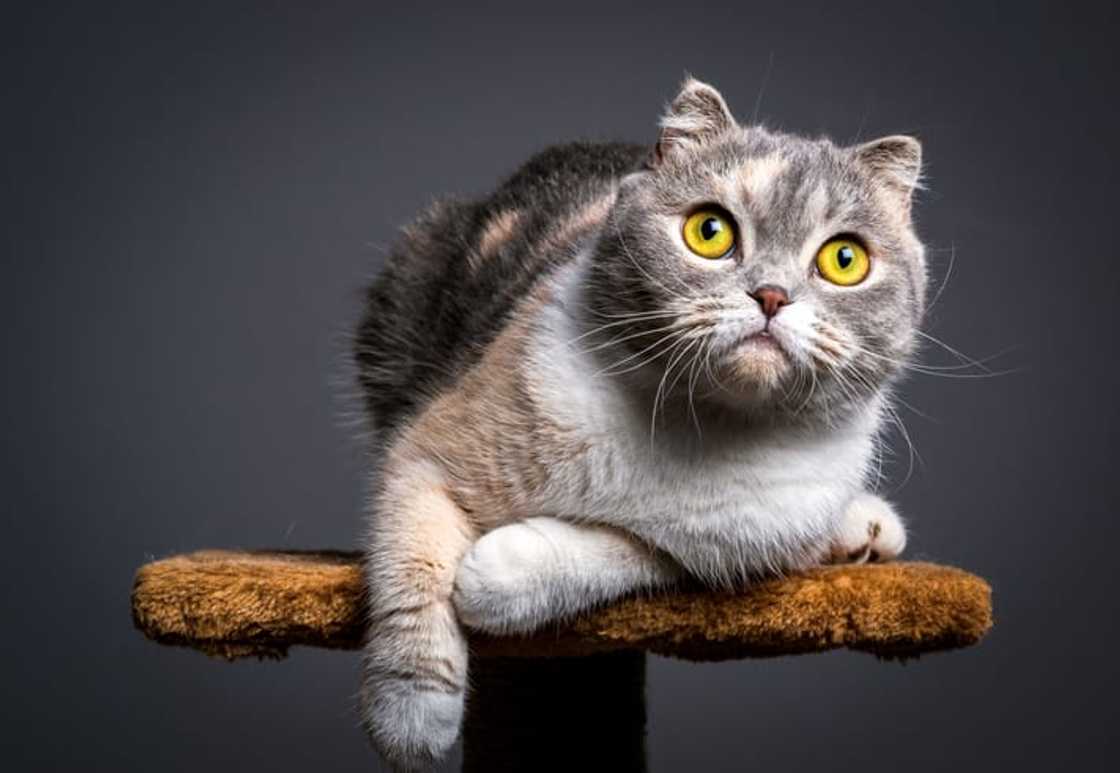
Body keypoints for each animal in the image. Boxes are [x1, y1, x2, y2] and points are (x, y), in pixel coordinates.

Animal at [353, 76, 922, 766]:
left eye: (844, 259)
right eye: (710, 230)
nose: (772, 295)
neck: (699, 426)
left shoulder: (735, 549)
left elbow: (641, 553)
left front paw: (499, 572)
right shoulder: (432, 449)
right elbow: (416, 575)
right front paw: (412, 717)